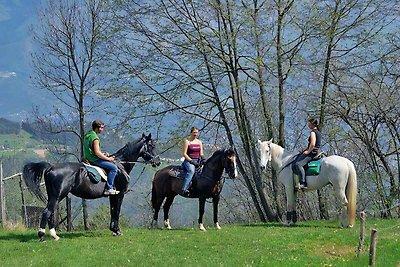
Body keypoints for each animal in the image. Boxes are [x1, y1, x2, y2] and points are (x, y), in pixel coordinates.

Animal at [23, 134, 159, 241]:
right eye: (152, 146)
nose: (157, 162)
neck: (121, 166)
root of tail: (51, 167)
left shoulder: (112, 196)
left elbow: (112, 211)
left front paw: (113, 230)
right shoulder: (120, 194)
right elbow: (117, 211)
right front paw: (117, 230)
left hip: (54, 196)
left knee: (51, 212)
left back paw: (54, 235)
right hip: (57, 196)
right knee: (47, 211)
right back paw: (42, 236)